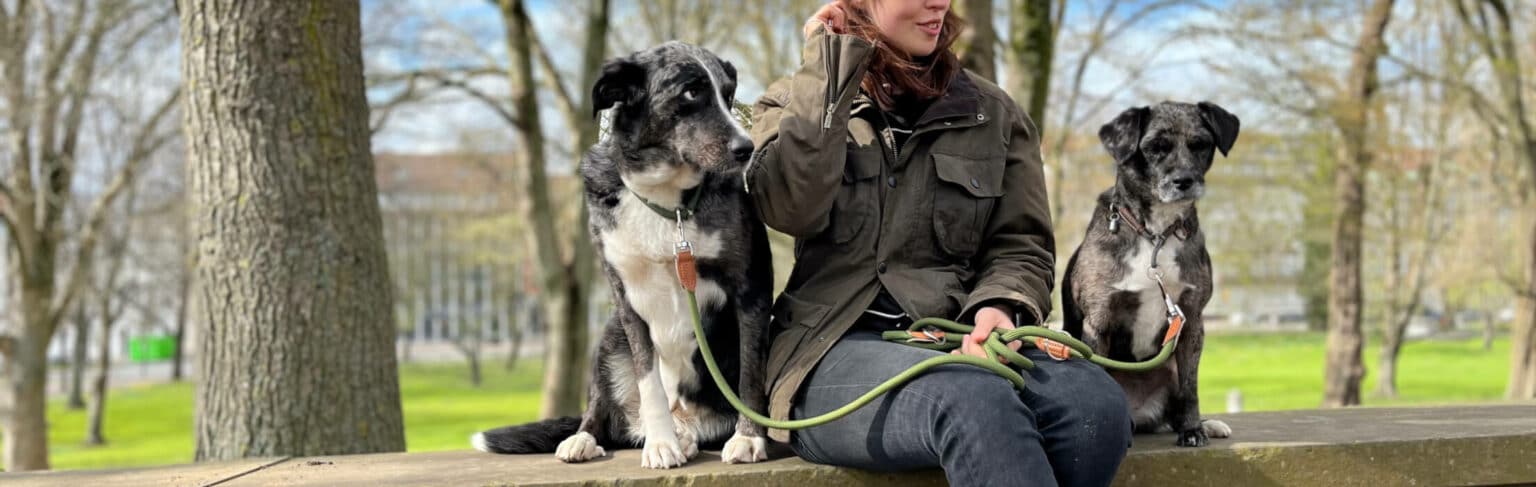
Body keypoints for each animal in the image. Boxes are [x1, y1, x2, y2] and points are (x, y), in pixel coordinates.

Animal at [470, 41, 780, 467]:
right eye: (691, 92)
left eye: (728, 95)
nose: (745, 148)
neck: (667, 200)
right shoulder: (628, 302)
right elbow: (649, 382)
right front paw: (661, 444)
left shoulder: (751, 287)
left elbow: (751, 372)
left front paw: (749, 438)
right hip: (608, 337)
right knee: (605, 408)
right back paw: (591, 439)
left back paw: (688, 435)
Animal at [1062, 100, 1241, 445]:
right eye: (1156, 147)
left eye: (1200, 144)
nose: (1184, 181)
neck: (1155, 235)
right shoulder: (1098, 320)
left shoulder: (1191, 319)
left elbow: (1190, 388)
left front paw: (1193, 430)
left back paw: (1207, 424)